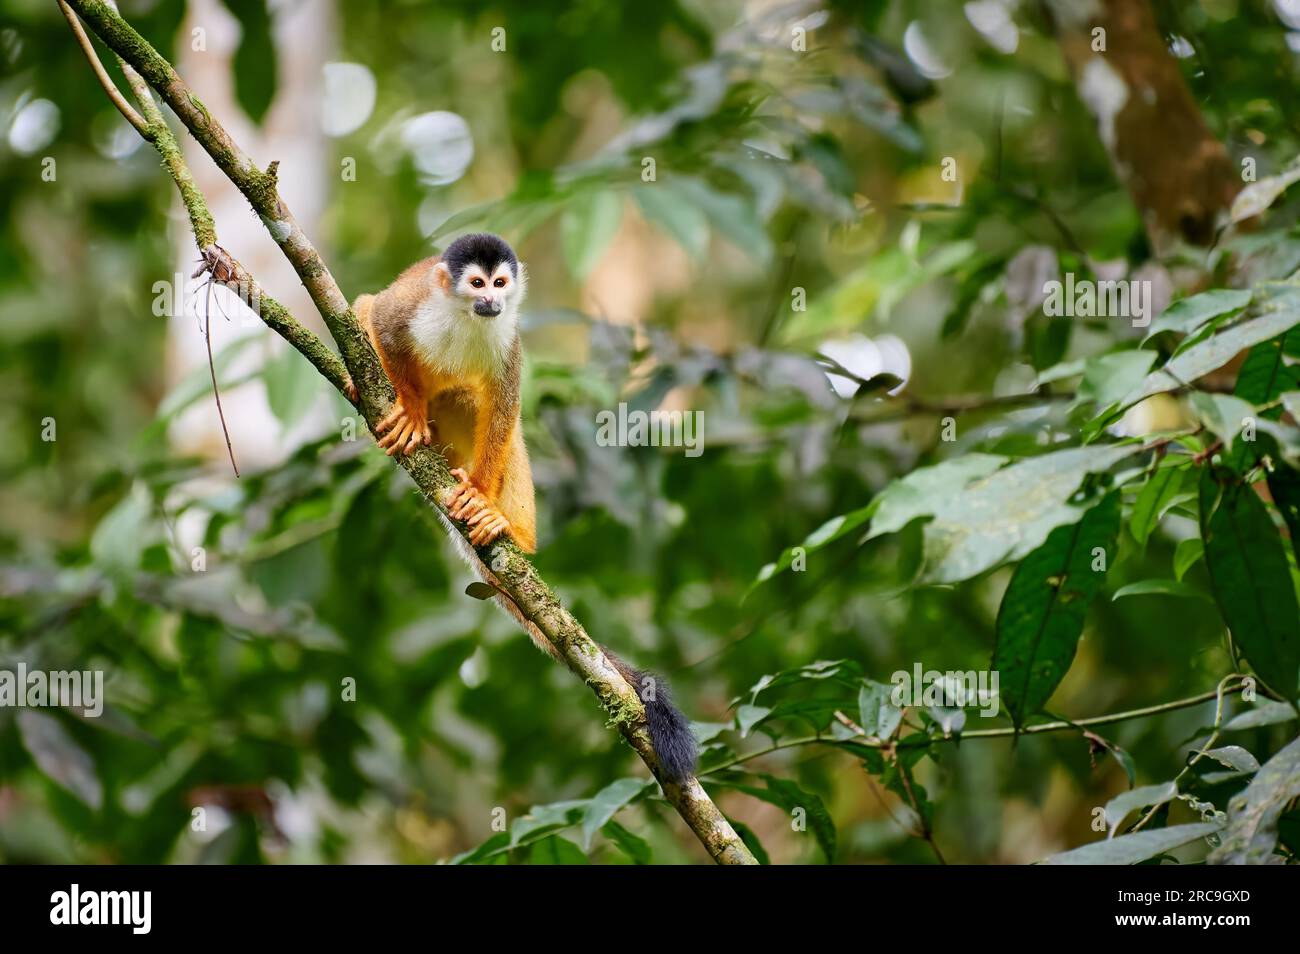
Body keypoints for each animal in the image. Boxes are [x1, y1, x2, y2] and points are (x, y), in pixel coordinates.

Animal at [345, 233, 702, 785]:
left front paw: (480, 498)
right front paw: (406, 404)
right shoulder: (411, 306)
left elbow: (503, 407)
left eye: (499, 283)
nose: (492, 301)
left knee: (482, 409)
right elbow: (380, 317)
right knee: (364, 315)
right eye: (476, 283)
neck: (466, 317)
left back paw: (511, 530)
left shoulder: (508, 340)